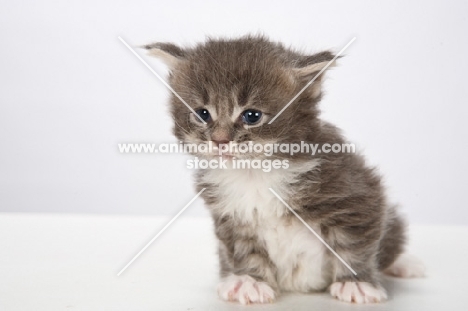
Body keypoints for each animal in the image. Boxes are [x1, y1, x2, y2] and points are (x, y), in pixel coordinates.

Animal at [145, 36, 424, 304]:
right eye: (202, 114)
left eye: (252, 116)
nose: (220, 141)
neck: (255, 173)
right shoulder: (230, 217)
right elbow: (243, 250)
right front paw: (249, 281)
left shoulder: (357, 195)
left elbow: (353, 245)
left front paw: (356, 283)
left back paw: (404, 264)